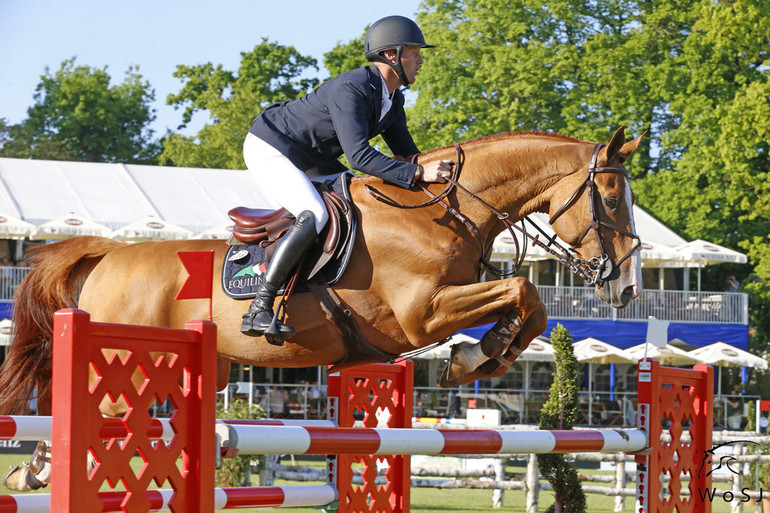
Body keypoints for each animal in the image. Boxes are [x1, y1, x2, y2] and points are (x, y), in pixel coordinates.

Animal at [0, 126, 640, 490]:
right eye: (611, 198)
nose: (628, 287)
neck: (440, 212)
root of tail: (107, 253)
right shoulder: (423, 314)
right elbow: (524, 292)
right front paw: (476, 356)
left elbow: (531, 307)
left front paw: (483, 355)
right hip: (122, 365)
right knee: (80, 409)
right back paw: (41, 469)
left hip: (207, 366)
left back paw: (37, 469)